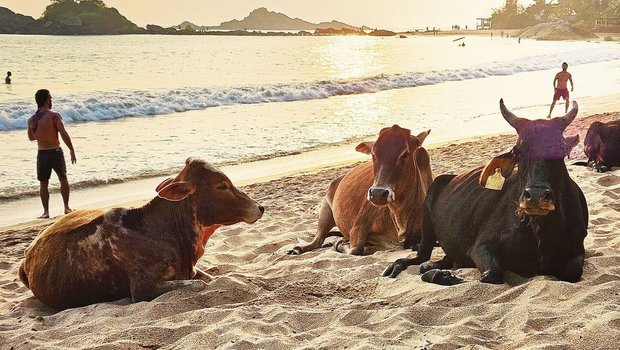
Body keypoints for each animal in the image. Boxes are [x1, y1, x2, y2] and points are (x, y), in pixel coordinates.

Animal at [18, 157, 266, 310]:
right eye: (221, 186)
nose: (260, 207)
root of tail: (27, 257)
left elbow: (211, 278)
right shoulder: (142, 289)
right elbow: (198, 284)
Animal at [290, 124, 432, 256]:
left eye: (406, 154)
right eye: (373, 154)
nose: (377, 194)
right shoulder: (358, 227)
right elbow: (356, 250)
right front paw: (339, 244)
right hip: (325, 209)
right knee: (317, 240)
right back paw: (299, 249)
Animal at [380, 98, 588, 284]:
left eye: (561, 149)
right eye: (518, 151)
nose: (536, 196)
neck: (539, 230)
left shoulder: (577, 250)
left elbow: (572, 272)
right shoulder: (480, 248)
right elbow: (492, 274)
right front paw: (442, 276)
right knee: (420, 257)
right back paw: (403, 267)